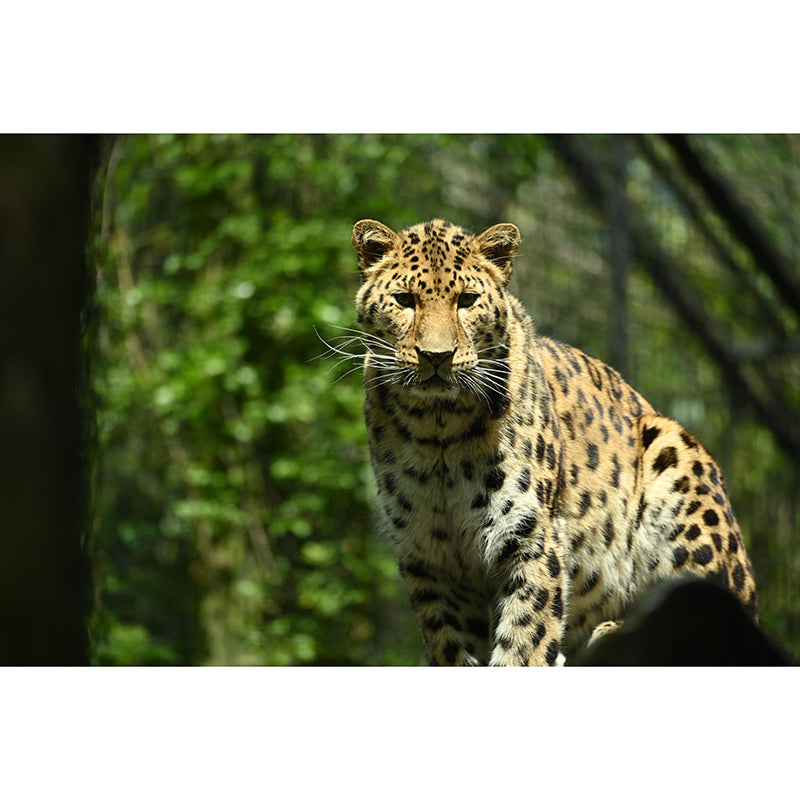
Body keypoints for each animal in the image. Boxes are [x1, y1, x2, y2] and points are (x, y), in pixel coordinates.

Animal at [350, 217, 758, 666]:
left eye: (467, 300)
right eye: (404, 300)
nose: (436, 356)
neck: (437, 427)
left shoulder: (531, 537)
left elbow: (524, 640)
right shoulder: (429, 557)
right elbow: (451, 647)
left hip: (672, 446)